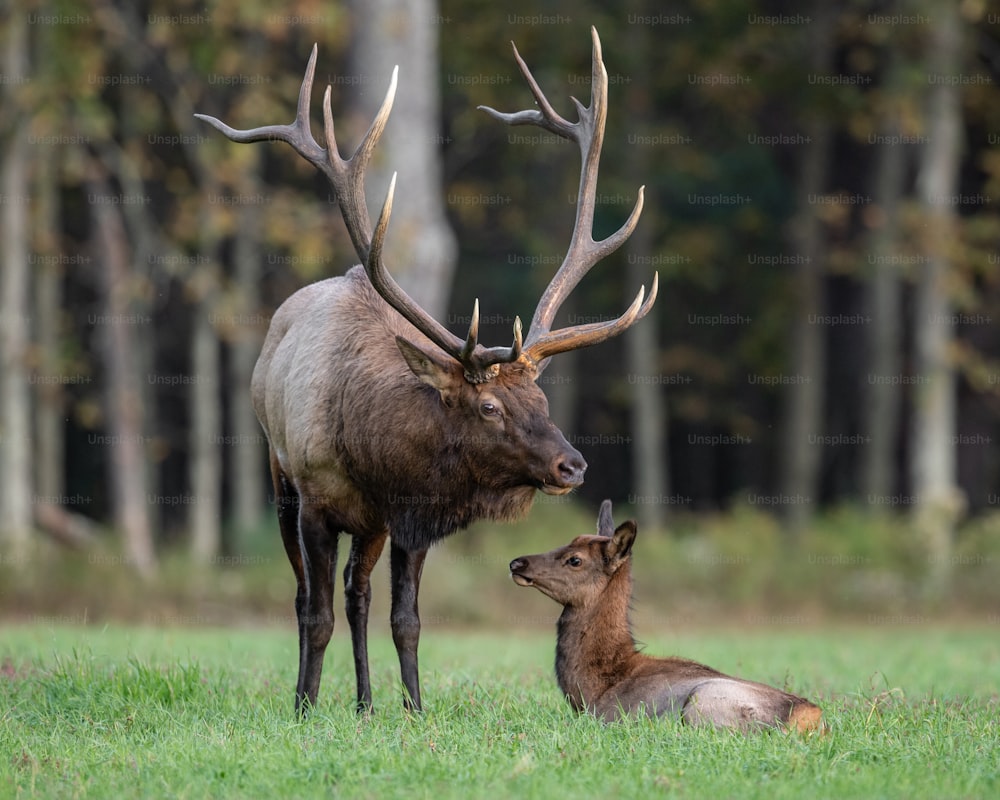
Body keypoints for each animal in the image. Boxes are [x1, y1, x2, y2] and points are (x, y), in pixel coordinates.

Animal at [199, 28, 660, 712]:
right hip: (280, 477)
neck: (371, 451)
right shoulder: (314, 501)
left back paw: (365, 703)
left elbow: (406, 620)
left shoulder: (407, 518)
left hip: (369, 527)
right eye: (489, 407)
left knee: (358, 592)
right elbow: (314, 612)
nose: (572, 466)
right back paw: (322, 696)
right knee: (311, 594)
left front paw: (414, 710)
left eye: (543, 403)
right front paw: (304, 708)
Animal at [512, 500, 824, 732]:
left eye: (575, 559)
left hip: (703, 703)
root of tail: (810, 718)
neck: (593, 690)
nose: (517, 562)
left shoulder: (607, 717)